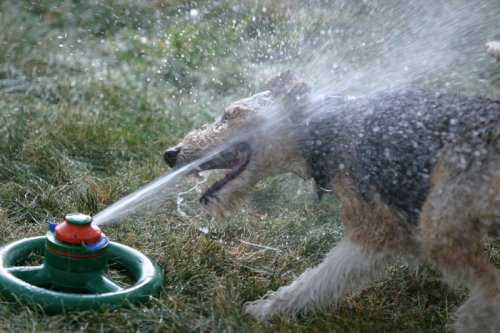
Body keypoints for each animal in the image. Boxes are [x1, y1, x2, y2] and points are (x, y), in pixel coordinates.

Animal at [165, 70, 500, 332]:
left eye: (230, 115)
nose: (170, 153)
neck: (324, 130)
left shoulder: (376, 231)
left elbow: (320, 278)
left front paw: (267, 309)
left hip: (440, 224)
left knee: (490, 286)